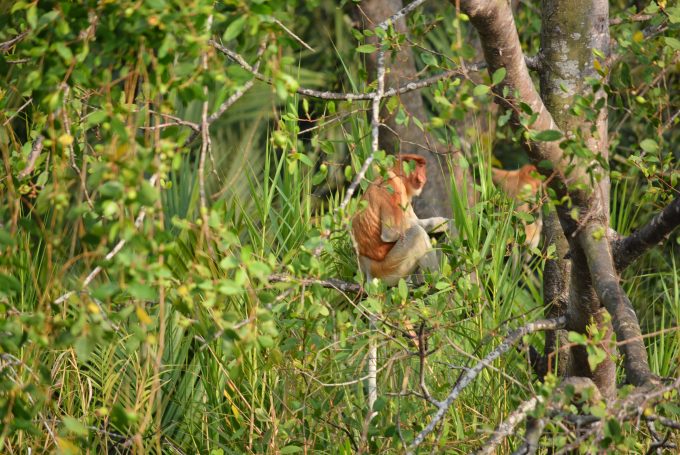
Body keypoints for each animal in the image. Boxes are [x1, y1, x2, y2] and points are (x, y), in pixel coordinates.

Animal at [350, 155, 452, 286]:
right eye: (420, 166)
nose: (424, 177)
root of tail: (366, 272)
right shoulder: (393, 186)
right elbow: (391, 233)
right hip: (387, 270)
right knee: (417, 233)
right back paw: (438, 281)